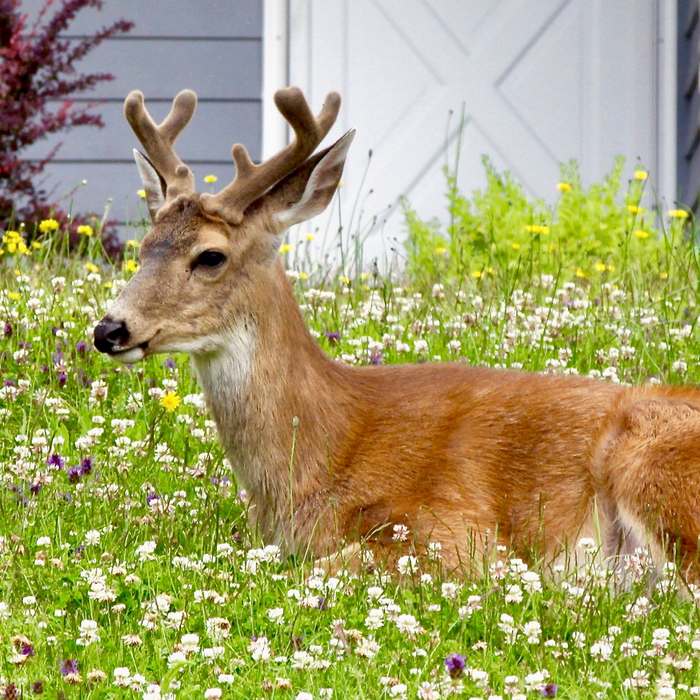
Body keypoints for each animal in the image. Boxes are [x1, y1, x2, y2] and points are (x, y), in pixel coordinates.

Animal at [93, 86, 700, 581]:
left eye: (211, 256)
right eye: (146, 245)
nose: (109, 329)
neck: (318, 458)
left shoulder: (457, 533)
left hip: (650, 465)